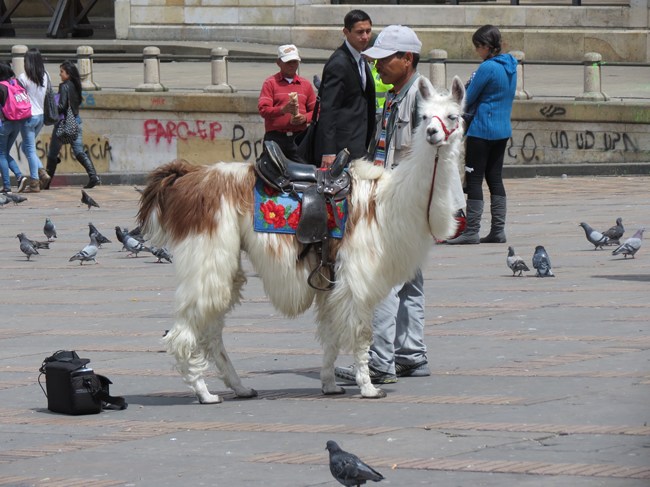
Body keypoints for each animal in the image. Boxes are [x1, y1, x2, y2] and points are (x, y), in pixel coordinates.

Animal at [137, 76, 466, 403]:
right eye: (424, 117)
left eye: (453, 116)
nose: (433, 133)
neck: (386, 202)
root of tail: (188, 177)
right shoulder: (358, 277)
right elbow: (361, 334)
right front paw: (369, 388)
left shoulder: (333, 280)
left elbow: (331, 335)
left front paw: (330, 384)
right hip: (208, 252)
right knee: (183, 331)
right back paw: (204, 393)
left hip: (221, 260)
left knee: (211, 328)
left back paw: (239, 387)